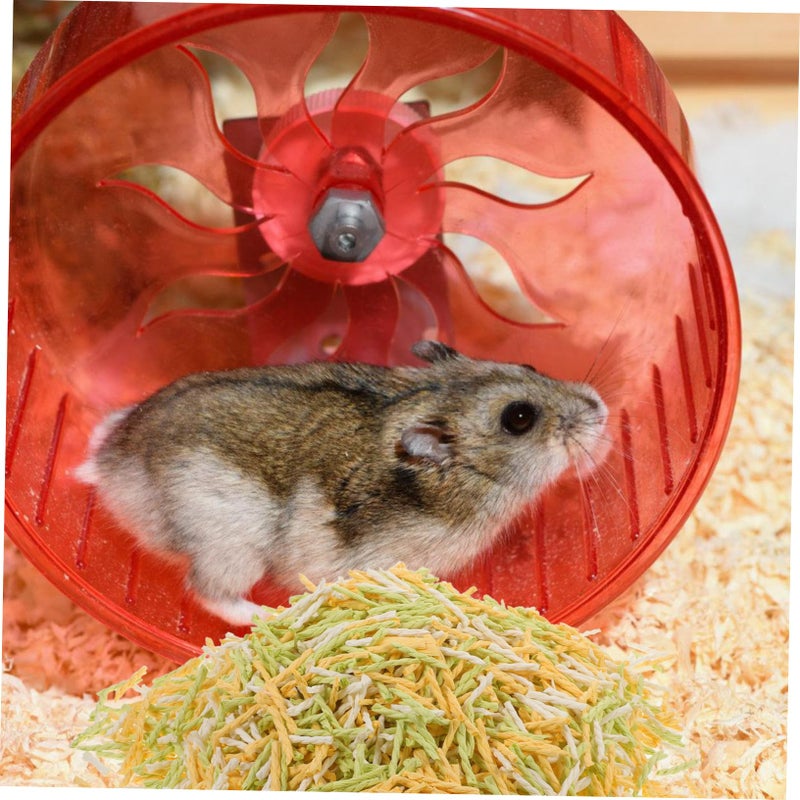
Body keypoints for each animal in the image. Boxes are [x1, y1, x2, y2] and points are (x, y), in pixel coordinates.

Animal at [76, 341, 608, 625]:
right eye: (519, 418)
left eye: (530, 365)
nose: (601, 409)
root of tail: (113, 469)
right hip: (230, 548)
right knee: (207, 592)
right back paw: (271, 617)